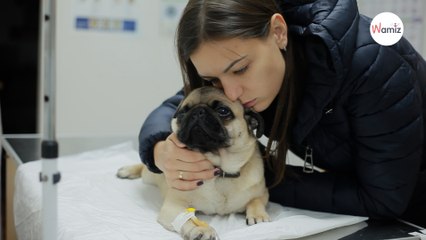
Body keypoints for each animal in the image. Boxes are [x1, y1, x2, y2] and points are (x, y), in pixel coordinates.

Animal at [116, 86, 270, 240]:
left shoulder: (263, 194)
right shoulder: (174, 206)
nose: (198, 111)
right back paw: (127, 170)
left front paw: (258, 215)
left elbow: (255, 201)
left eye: (223, 111)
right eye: (183, 112)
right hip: (151, 175)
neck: (220, 171)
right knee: (144, 168)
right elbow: (188, 219)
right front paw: (202, 229)